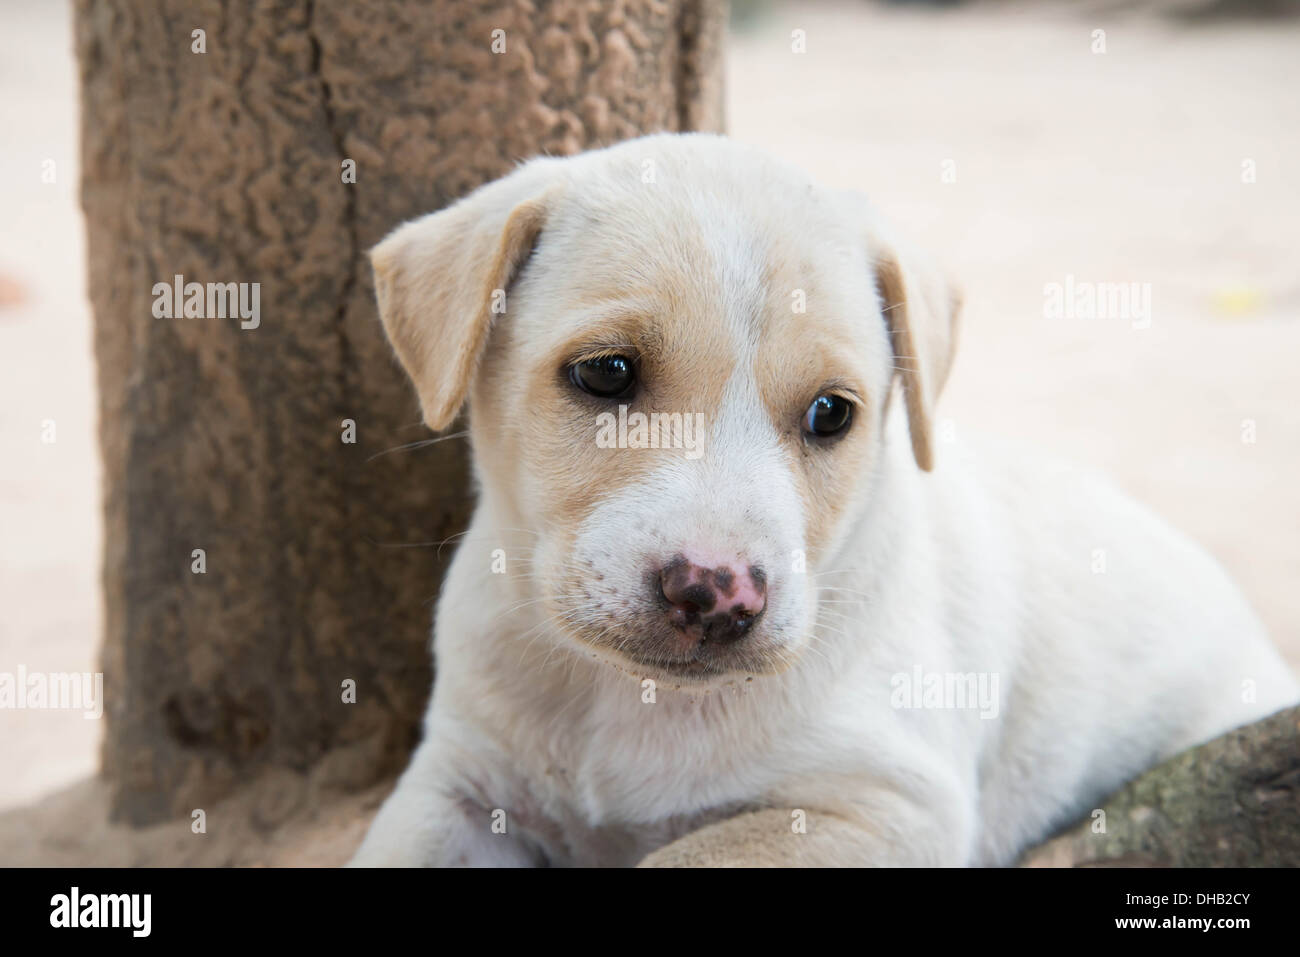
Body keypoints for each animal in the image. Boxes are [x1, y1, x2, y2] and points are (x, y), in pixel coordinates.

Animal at [348, 134, 1300, 868]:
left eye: (832, 413)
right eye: (606, 372)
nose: (719, 594)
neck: (627, 698)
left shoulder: (883, 809)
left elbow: (685, 852)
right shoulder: (457, 783)